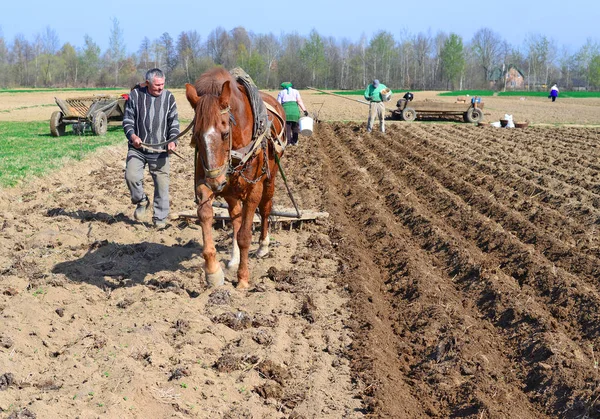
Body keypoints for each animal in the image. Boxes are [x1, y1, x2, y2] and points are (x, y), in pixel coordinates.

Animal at [184, 69, 284, 290]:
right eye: (196, 134)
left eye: (225, 133)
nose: (216, 182)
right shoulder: (205, 182)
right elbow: (206, 214)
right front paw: (213, 271)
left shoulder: (254, 189)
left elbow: (245, 235)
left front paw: (243, 278)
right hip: (230, 190)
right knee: (236, 217)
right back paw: (234, 258)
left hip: (269, 179)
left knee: (266, 208)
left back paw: (263, 246)